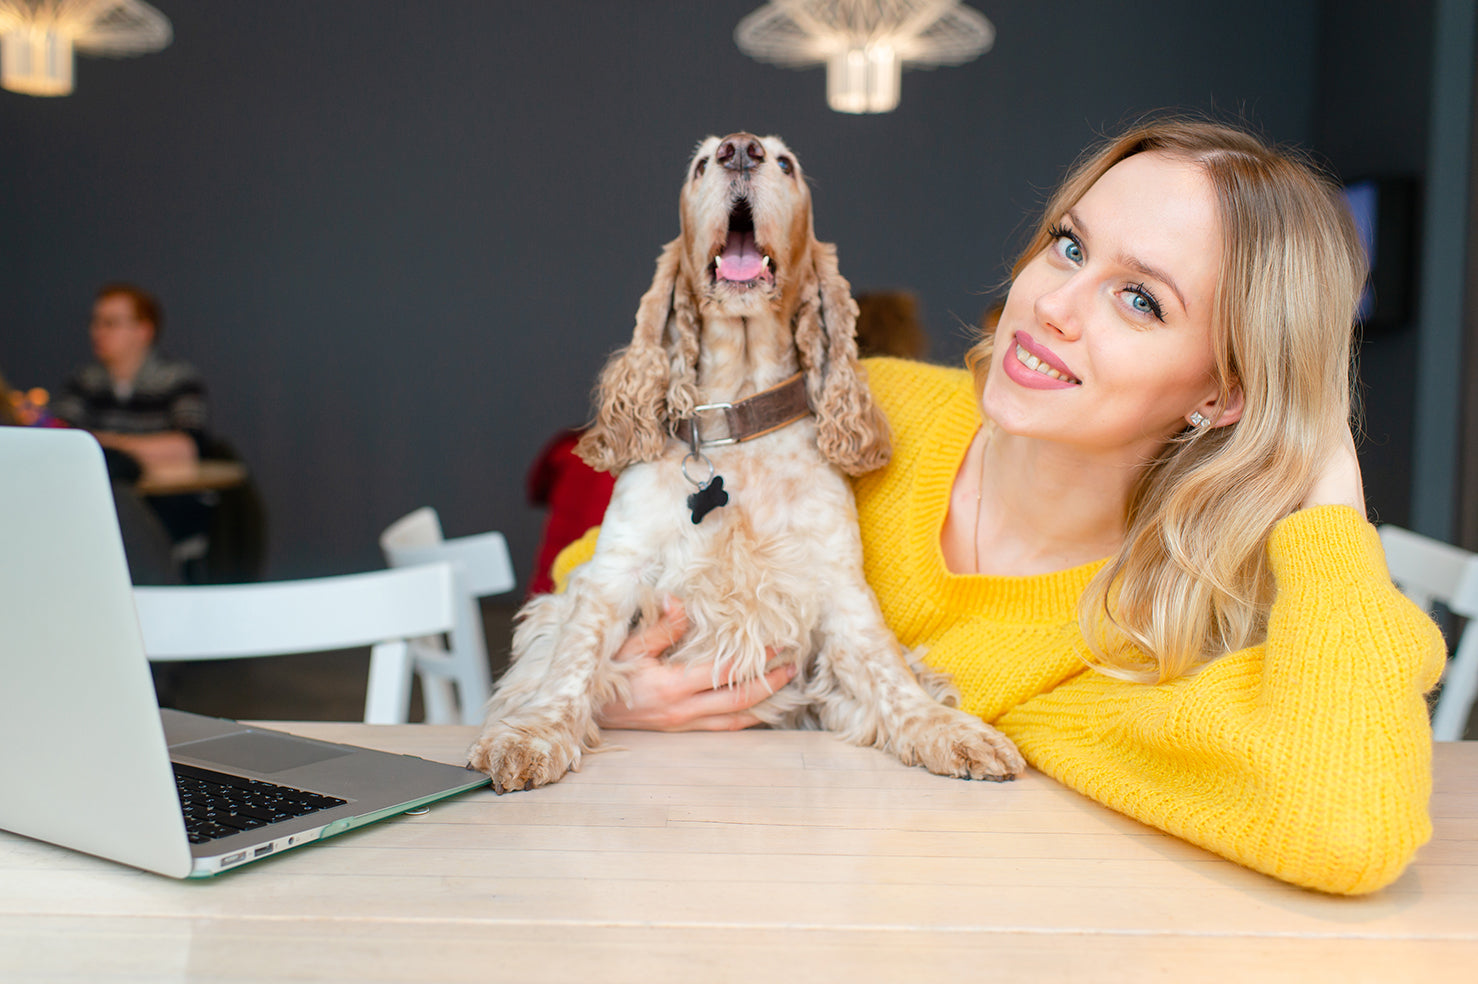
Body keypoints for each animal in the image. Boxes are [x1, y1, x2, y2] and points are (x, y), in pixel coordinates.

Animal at [467, 132, 1022, 791]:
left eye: (786, 164)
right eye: (701, 164)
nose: (740, 149)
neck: (736, 420)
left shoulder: (837, 586)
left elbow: (886, 668)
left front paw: (946, 730)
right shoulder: (612, 575)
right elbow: (570, 661)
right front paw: (530, 736)